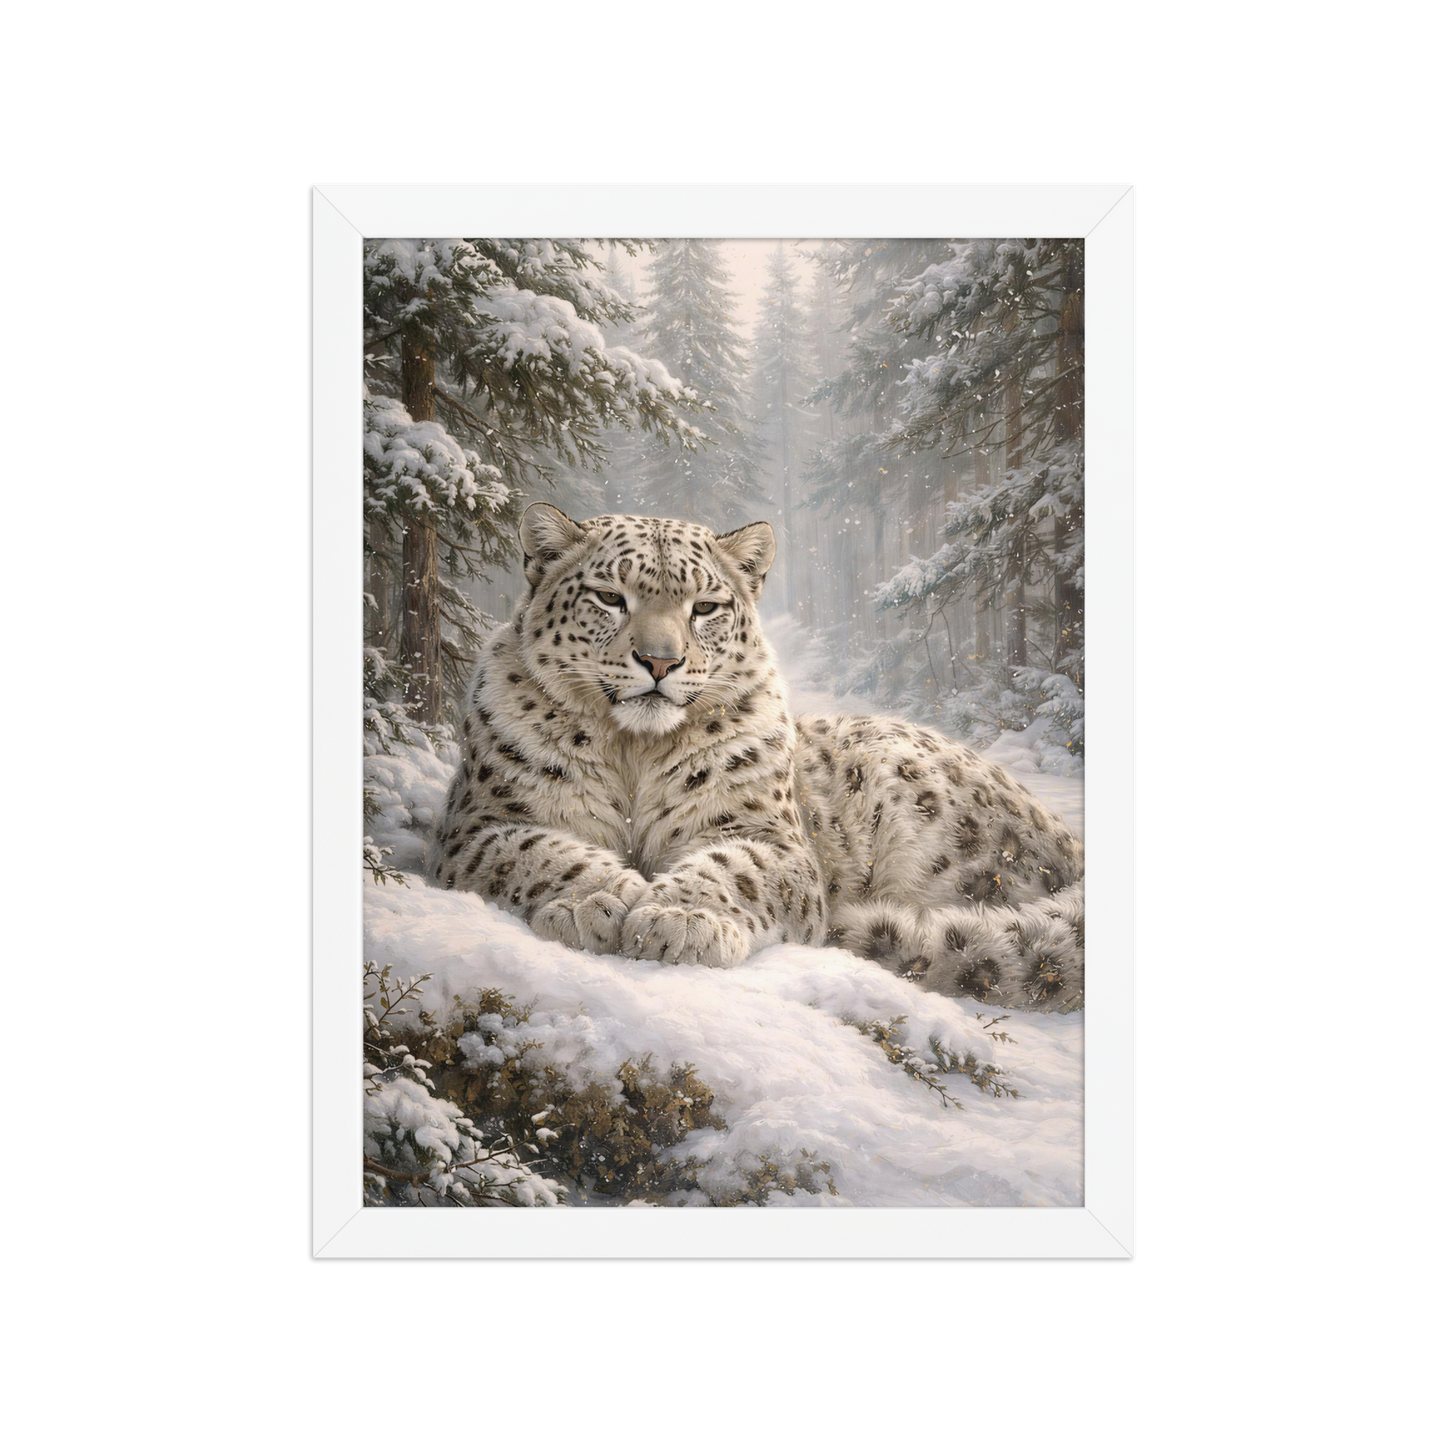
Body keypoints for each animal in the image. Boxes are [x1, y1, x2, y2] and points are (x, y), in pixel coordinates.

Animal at [427, 503, 1084, 1011]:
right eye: (610, 596)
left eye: (705, 606)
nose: (660, 661)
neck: (635, 751)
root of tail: (1067, 836)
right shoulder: (481, 824)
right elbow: (540, 852)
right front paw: (596, 903)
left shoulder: (769, 836)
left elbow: (734, 868)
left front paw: (679, 920)